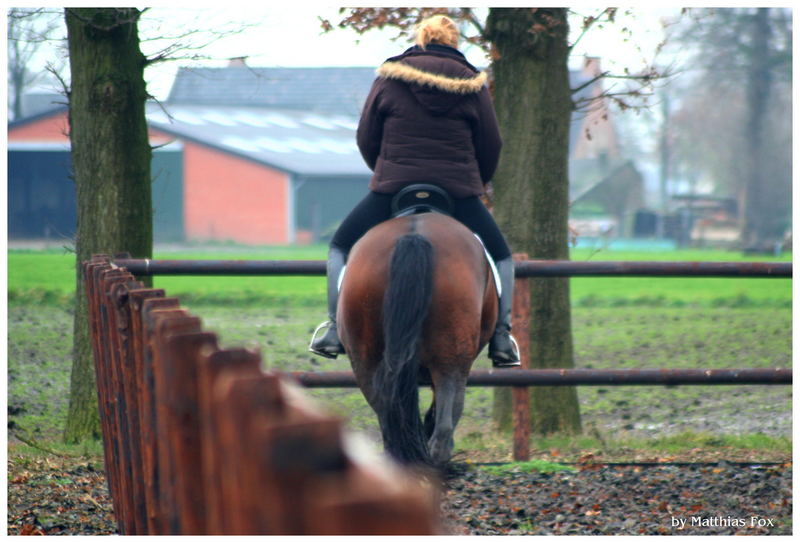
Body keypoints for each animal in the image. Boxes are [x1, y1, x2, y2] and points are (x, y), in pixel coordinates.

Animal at [338, 204, 500, 468]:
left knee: (384, 407)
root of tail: (414, 236)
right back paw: (438, 456)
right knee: (448, 408)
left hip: (364, 355)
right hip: (453, 356)